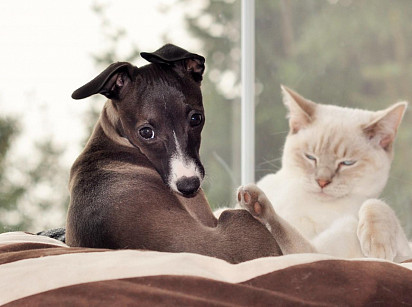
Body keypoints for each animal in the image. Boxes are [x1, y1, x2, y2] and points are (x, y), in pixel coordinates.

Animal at [66, 44, 312, 264]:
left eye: (196, 118)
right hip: (234, 215)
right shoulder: (205, 213)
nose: (189, 186)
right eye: (146, 132)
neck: (113, 140)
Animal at [248, 85, 408, 264]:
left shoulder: (404, 252)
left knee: (308, 252)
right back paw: (254, 202)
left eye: (347, 163)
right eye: (310, 157)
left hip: (344, 228)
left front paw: (378, 246)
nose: (322, 181)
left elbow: (376, 203)